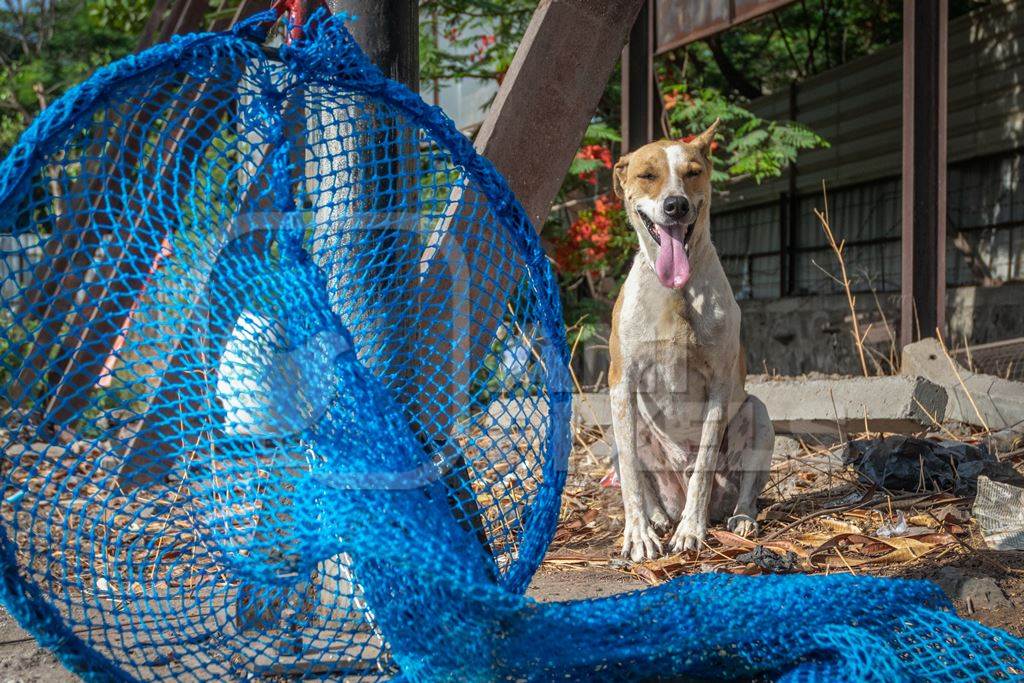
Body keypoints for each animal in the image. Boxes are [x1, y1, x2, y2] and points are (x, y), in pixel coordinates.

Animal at [606, 121, 774, 561]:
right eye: (647, 175)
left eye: (693, 172)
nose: (676, 206)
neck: (675, 293)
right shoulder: (621, 384)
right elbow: (632, 475)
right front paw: (638, 535)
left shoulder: (719, 385)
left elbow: (703, 467)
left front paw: (690, 532)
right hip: (620, 435)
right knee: (639, 474)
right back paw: (657, 519)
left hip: (758, 415)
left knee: (744, 489)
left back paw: (739, 519)